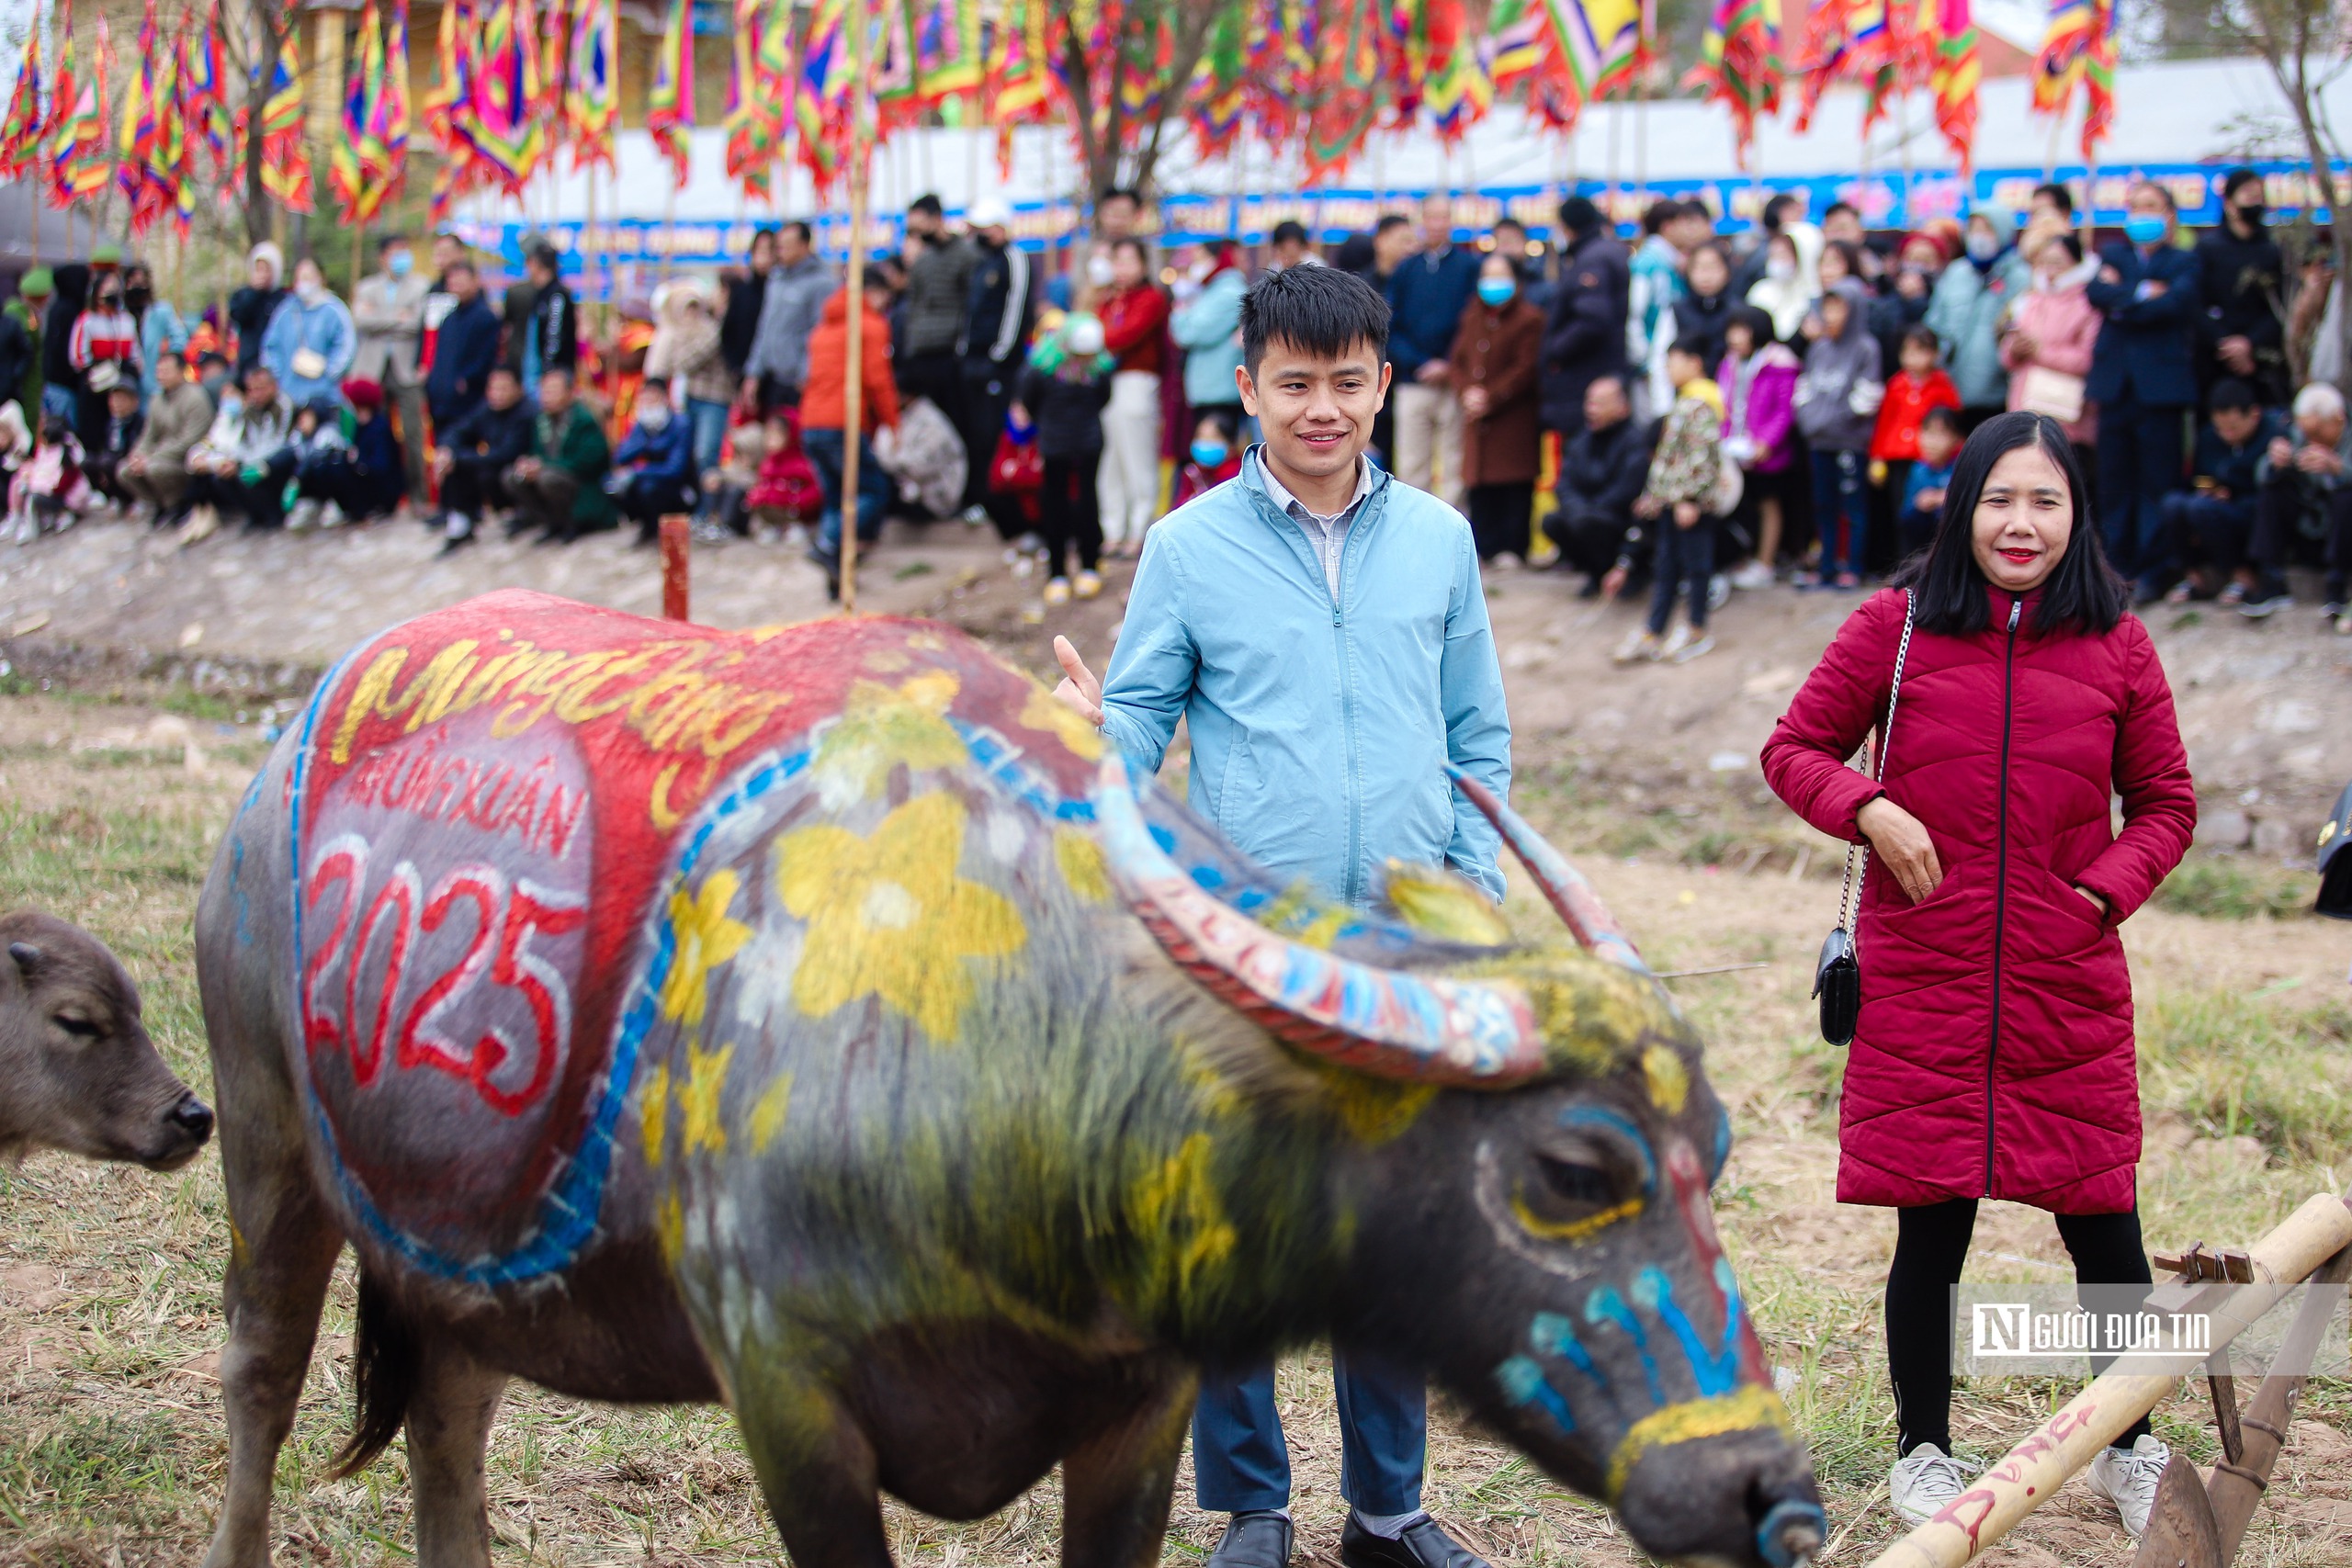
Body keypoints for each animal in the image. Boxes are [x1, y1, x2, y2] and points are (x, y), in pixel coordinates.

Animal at [192, 592, 1825, 1568]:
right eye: (1575, 1167)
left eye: (1719, 1149)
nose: (1766, 1487)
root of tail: (287, 741)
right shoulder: (788, 1399)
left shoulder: (1137, 1413)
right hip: (267, 1149)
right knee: (262, 1379)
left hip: (457, 1243)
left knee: (450, 1427)